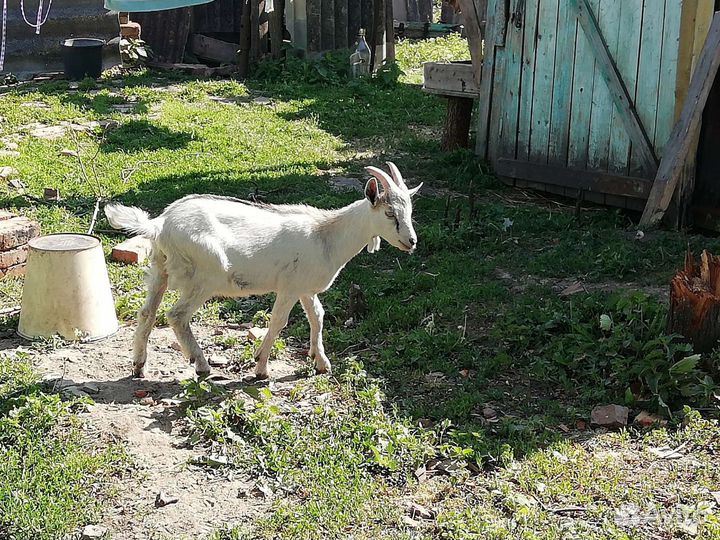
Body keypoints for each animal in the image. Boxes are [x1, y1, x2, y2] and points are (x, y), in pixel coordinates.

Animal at [104, 163, 422, 379]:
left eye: (409, 212)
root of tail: (160, 224)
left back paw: (139, 365)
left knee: (147, 312)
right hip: (205, 276)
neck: (327, 235)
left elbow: (317, 317)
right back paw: (202, 364)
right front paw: (261, 367)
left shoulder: (305, 288)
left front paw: (321, 361)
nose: (411, 242)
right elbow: (279, 322)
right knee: (176, 315)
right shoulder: (290, 287)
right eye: (390, 213)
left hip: (160, 268)